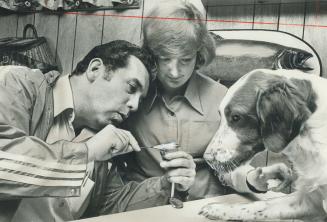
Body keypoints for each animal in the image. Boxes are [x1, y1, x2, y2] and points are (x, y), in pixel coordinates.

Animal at [200, 68, 327, 221]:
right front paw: (219, 209)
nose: (206, 158)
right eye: (220, 115)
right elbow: (260, 206)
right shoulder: (311, 201)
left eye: (236, 117)